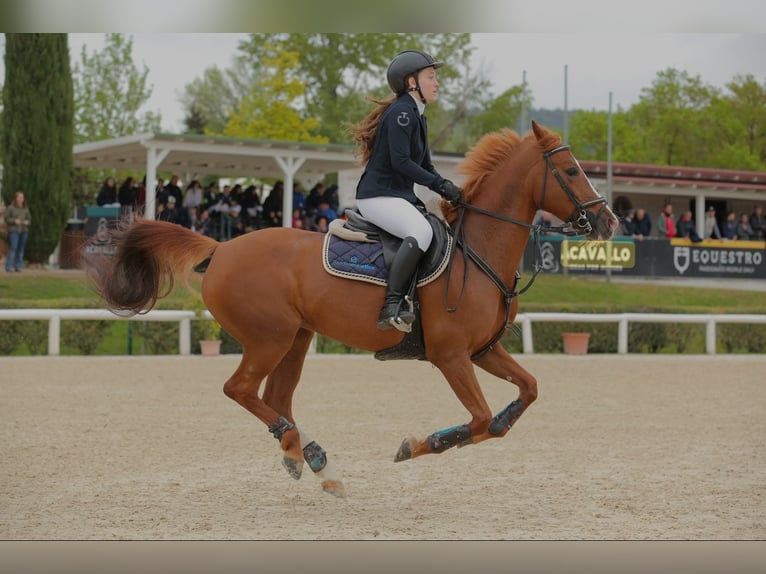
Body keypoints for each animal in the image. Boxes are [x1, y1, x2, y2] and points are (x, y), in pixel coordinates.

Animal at [85, 122, 616, 500]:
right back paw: (307, 454)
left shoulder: (484, 350)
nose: (609, 222)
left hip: (296, 339)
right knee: (241, 390)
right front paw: (422, 445)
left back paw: (309, 457)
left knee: (277, 399)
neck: (478, 250)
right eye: (571, 171)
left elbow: (525, 393)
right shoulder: (450, 356)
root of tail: (222, 248)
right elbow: (481, 418)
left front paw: (483, 426)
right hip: (270, 337)